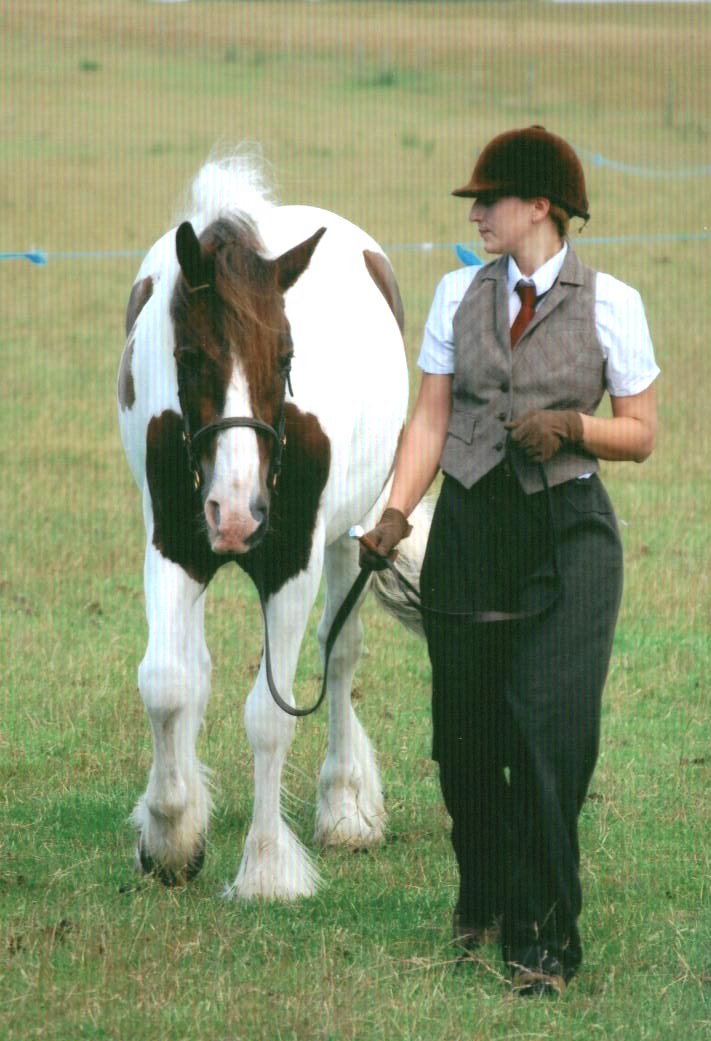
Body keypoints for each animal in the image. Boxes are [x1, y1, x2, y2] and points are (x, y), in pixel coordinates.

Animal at [117, 153, 430, 899]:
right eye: (189, 356)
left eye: (286, 357)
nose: (237, 514)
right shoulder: (173, 545)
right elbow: (168, 683)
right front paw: (170, 833)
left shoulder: (293, 562)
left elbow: (270, 715)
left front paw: (265, 867)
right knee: (194, 669)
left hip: (351, 538)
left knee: (339, 658)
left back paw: (345, 806)